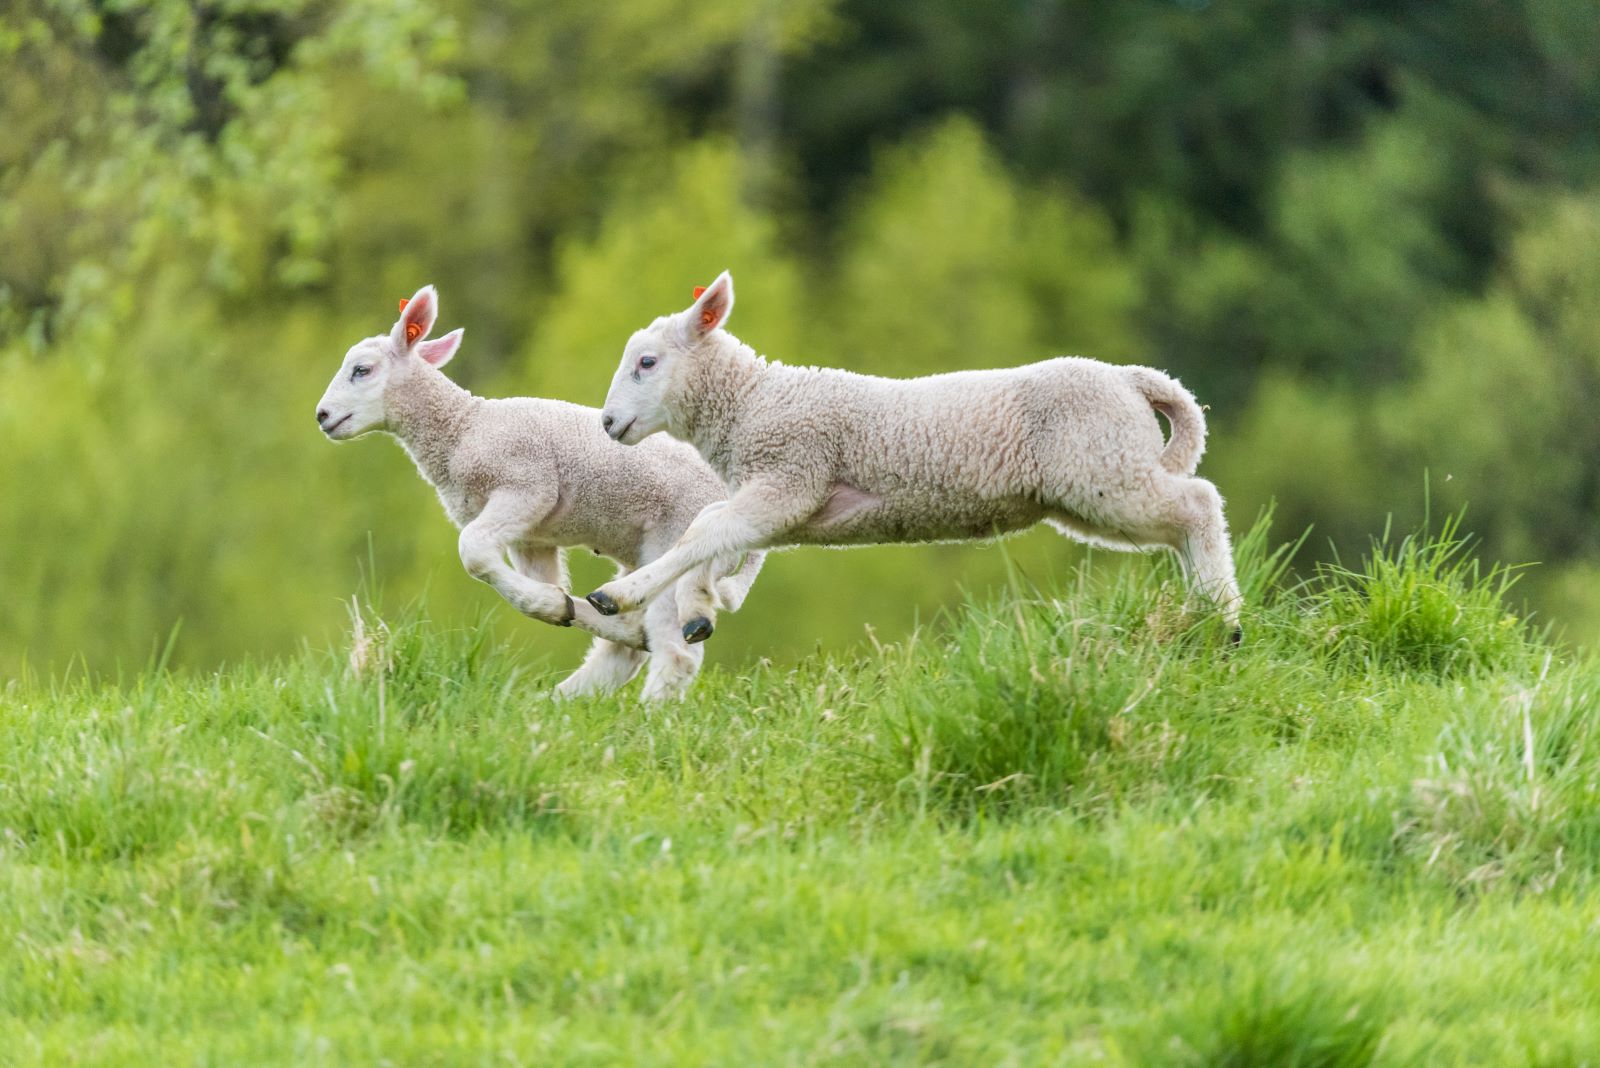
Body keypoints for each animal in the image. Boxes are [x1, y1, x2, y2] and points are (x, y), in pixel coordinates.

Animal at [314, 284, 764, 700]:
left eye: (361, 370)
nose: (322, 416)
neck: (463, 428)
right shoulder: (531, 537)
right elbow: (528, 578)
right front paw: (555, 605)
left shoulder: (527, 485)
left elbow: (472, 552)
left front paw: (553, 604)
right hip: (645, 552)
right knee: (629, 643)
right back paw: (567, 692)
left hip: (678, 540)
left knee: (675, 651)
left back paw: (648, 712)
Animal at [583, 271, 1242, 642]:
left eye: (647, 362)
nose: (608, 423)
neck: (752, 401)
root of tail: (1133, 379)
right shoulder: (787, 502)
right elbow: (715, 535)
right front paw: (698, 609)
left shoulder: (791, 475)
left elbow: (703, 531)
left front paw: (619, 595)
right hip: (1094, 483)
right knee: (1180, 522)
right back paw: (1203, 616)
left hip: (1102, 467)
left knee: (1199, 504)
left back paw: (1226, 619)